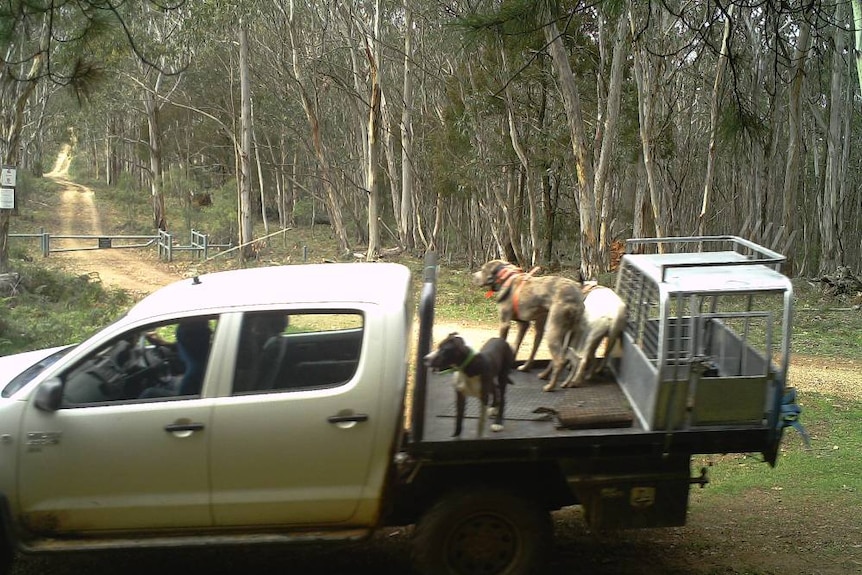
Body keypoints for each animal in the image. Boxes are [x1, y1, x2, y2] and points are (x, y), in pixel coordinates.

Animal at [472, 260, 588, 392]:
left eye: (482, 269)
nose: (473, 276)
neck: (505, 277)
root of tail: (577, 298)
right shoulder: (523, 324)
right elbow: (516, 345)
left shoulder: (504, 322)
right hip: (568, 333)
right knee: (572, 358)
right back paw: (565, 381)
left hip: (553, 329)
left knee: (560, 360)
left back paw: (550, 386)